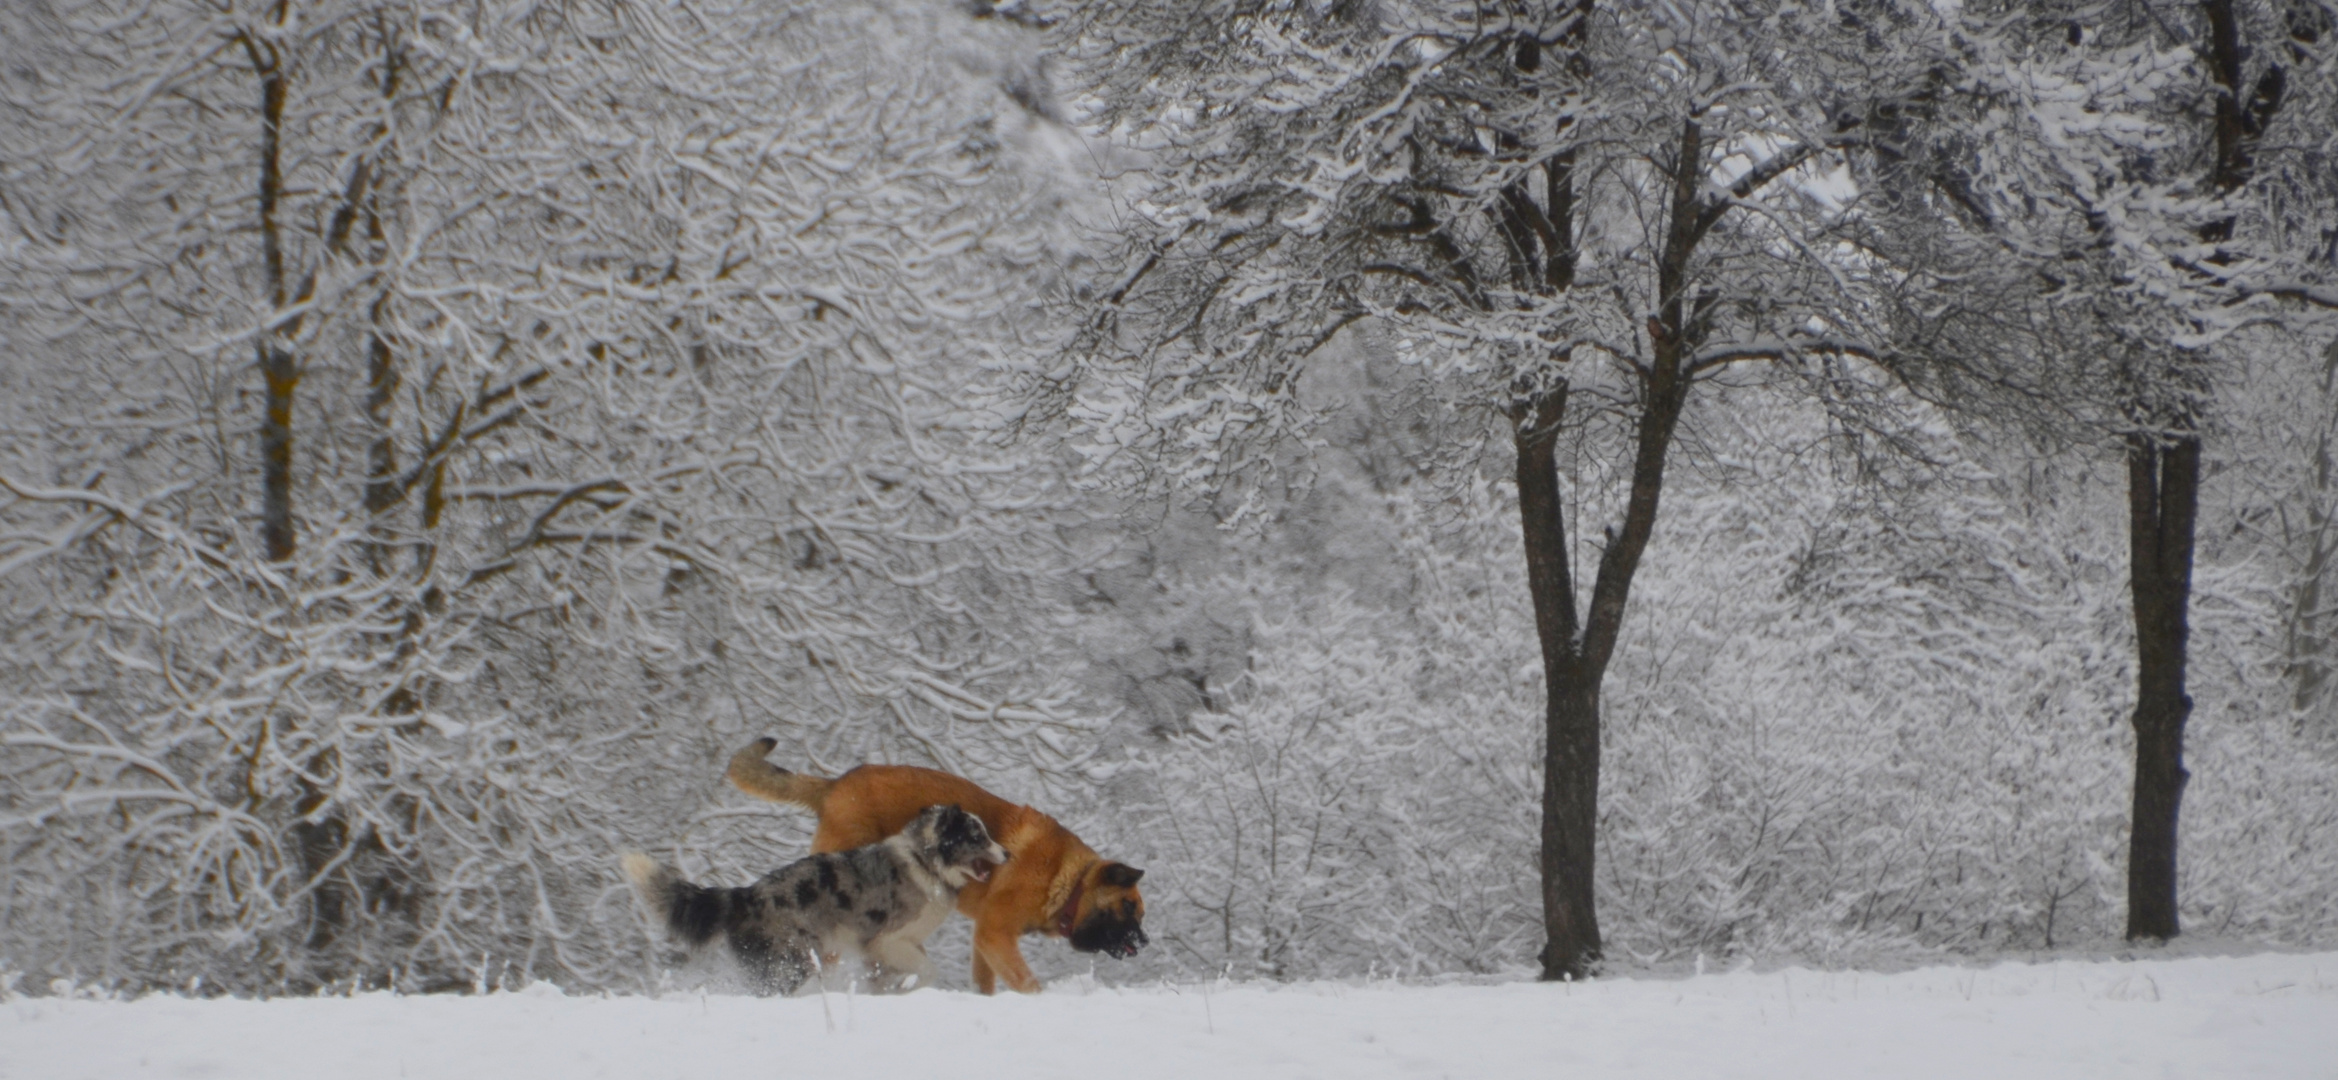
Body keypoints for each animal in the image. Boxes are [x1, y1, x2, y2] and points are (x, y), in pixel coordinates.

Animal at [720, 734, 1140, 995]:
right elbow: (1027, 983)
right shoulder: (996, 933)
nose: (1145, 941)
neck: (1069, 881)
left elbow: (985, 985)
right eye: (1130, 906)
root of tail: (835, 785)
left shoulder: (985, 941)